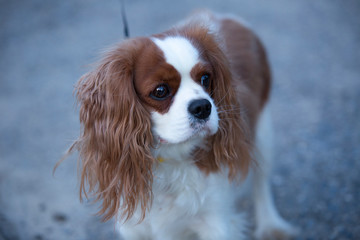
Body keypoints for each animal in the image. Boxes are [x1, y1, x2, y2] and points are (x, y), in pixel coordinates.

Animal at [69, 9, 296, 240]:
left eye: (205, 78)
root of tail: (220, 14)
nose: (202, 107)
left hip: (263, 133)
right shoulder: (133, 228)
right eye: (160, 91)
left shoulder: (215, 222)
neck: (170, 157)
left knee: (261, 181)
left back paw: (271, 223)